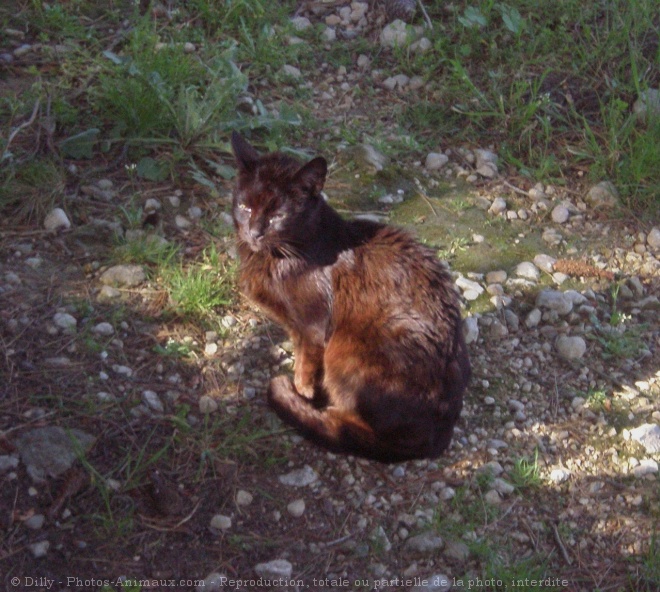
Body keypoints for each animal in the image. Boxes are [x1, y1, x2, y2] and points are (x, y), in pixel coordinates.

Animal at [231, 133, 470, 462]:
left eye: (278, 215)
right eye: (245, 207)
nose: (254, 233)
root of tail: (434, 438)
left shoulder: (313, 328)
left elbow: (305, 366)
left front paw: (301, 392)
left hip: (348, 349)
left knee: (350, 428)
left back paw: (316, 412)